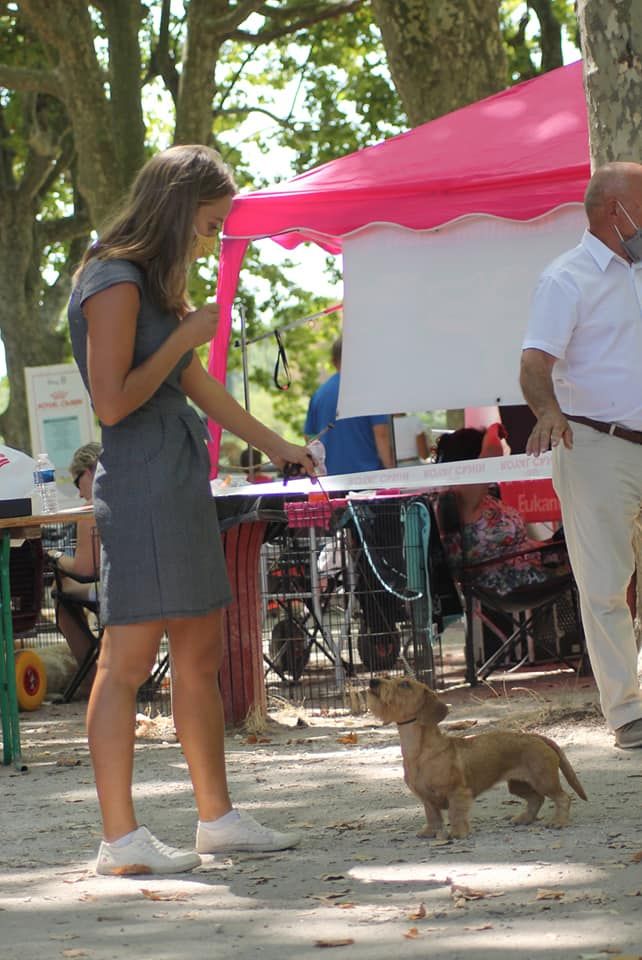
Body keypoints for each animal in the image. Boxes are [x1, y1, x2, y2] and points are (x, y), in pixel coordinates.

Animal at [364, 676, 584, 840]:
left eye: (405, 684)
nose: (373, 681)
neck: (418, 752)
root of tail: (537, 736)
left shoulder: (457, 792)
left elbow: (455, 814)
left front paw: (458, 833)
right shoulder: (427, 798)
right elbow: (433, 816)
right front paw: (429, 833)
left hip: (544, 780)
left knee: (563, 798)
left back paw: (558, 822)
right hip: (518, 784)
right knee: (536, 799)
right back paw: (523, 818)